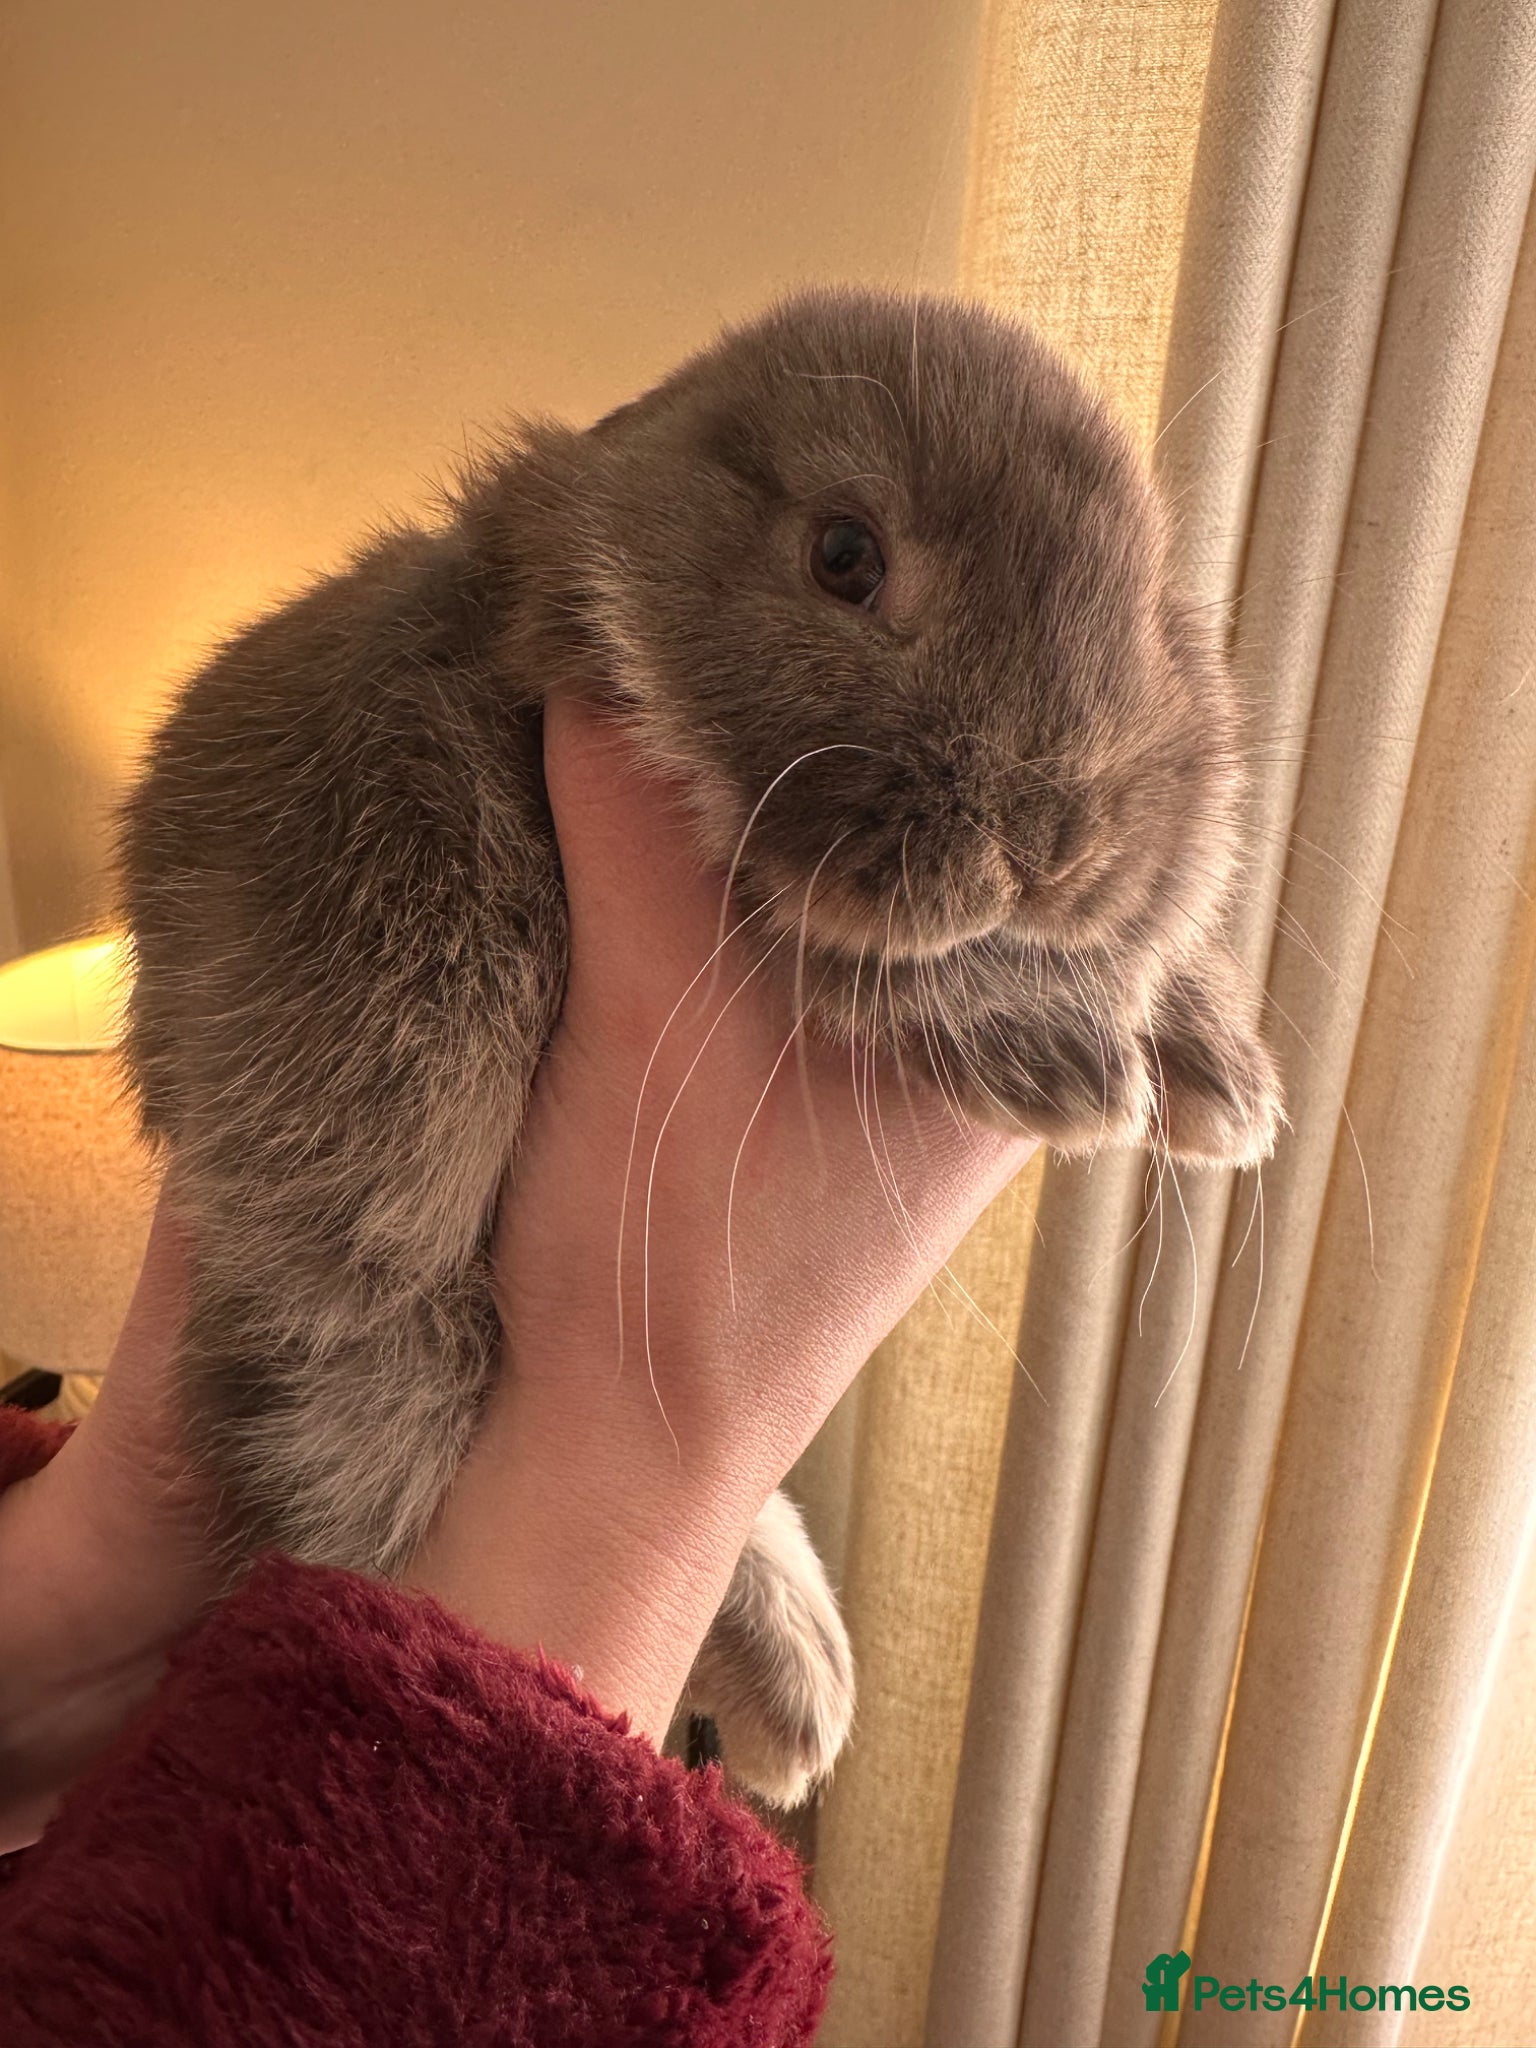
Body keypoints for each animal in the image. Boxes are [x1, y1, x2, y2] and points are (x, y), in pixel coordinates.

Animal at [119, 287, 1282, 1807]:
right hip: (379, 1310)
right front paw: (1073, 1061)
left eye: (1149, 605)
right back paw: (786, 1689)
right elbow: (870, 962)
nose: (1056, 842)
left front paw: (1220, 1070)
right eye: (845, 556)